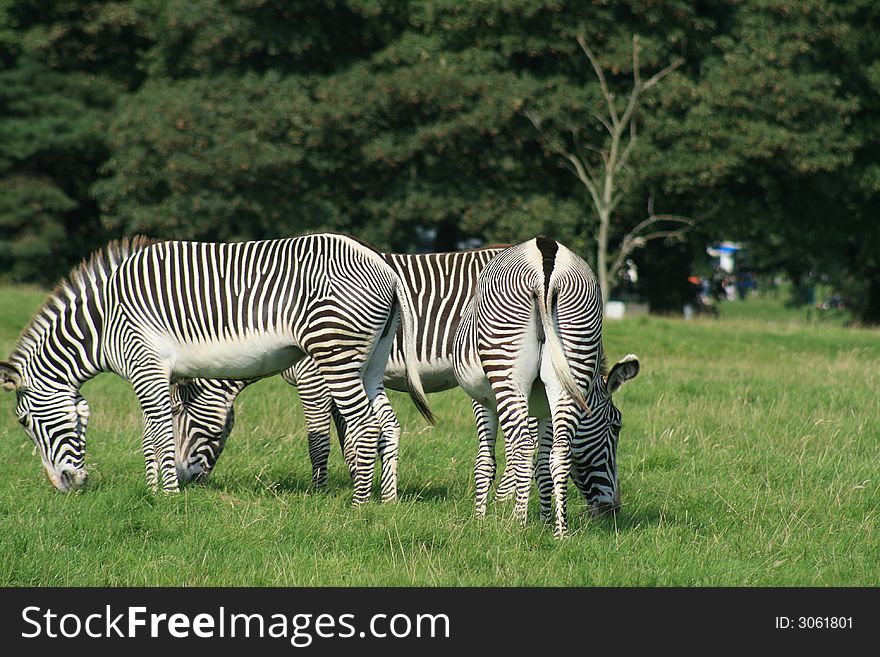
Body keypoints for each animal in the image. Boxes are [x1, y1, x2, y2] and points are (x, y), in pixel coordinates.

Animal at [0, 233, 434, 504]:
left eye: (22, 421)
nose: (66, 486)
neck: (103, 321)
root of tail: (383, 264)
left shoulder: (145, 361)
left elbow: (159, 431)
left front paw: (168, 496)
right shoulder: (153, 371)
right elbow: (151, 433)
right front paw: (154, 489)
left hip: (335, 351)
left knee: (363, 424)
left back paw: (359, 504)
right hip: (370, 360)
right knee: (388, 422)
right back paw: (386, 501)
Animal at [454, 238, 640, 536]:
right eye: (616, 426)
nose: (613, 509)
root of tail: (546, 261)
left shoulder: (483, 400)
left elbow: (487, 461)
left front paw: (481, 519)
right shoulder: (542, 410)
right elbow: (541, 463)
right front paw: (543, 519)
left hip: (507, 369)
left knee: (522, 447)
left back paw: (518, 524)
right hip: (573, 358)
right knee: (560, 453)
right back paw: (560, 531)